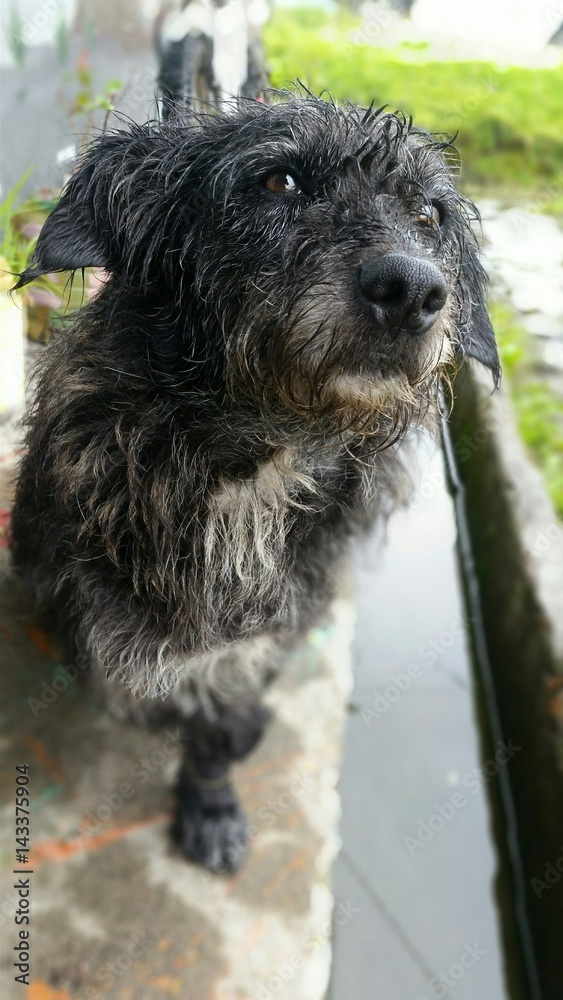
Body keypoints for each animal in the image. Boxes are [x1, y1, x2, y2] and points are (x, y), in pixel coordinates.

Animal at [12, 95, 498, 876]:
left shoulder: (264, 642)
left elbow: (225, 729)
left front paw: (209, 805)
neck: (256, 459)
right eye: (280, 182)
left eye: (429, 214)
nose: (414, 290)